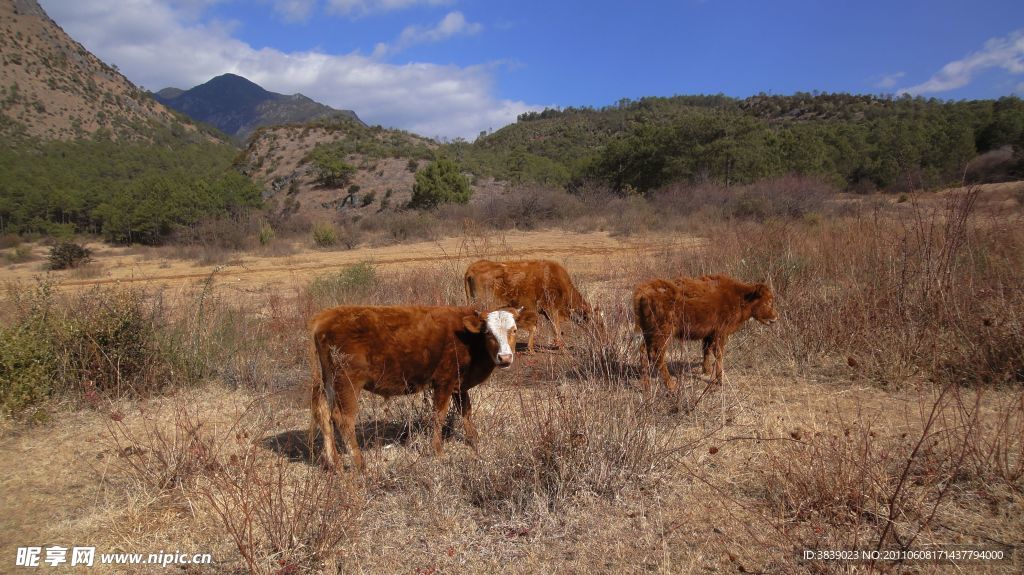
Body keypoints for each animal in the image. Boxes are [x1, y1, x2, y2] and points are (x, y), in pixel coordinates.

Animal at [309, 302, 520, 468]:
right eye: (488, 333)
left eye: (514, 330)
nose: (505, 357)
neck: (467, 338)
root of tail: (325, 316)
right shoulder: (444, 381)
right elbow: (439, 416)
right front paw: (438, 451)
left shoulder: (459, 385)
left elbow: (466, 412)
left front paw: (475, 442)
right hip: (347, 382)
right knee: (343, 419)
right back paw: (360, 464)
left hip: (329, 382)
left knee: (324, 413)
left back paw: (334, 463)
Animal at [464, 258, 598, 349]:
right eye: (598, 323)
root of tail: (473, 267)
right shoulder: (551, 309)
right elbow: (556, 328)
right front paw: (560, 346)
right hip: (484, 305)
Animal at [630, 272, 774, 388]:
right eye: (767, 302)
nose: (775, 318)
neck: (739, 296)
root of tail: (643, 292)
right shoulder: (721, 332)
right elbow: (719, 354)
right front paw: (720, 380)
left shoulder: (710, 333)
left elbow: (706, 349)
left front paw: (706, 370)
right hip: (663, 334)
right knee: (657, 355)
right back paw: (671, 386)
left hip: (649, 334)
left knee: (644, 352)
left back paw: (646, 384)